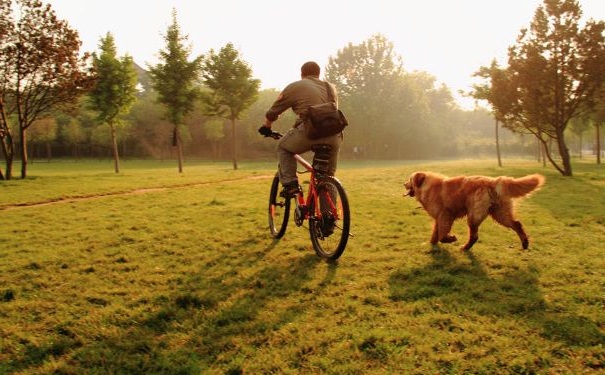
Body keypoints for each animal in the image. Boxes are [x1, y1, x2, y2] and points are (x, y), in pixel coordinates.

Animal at [404, 172, 544, 251]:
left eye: (409, 179)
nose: (403, 184)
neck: (427, 186)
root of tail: (492, 181)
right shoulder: (439, 218)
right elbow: (436, 234)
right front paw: (431, 243)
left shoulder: (446, 215)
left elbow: (442, 235)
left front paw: (451, 239)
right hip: (500, 214)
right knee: (517, 224)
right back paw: (525, 243)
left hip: (473, 216)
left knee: (474, 236)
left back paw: (465, 248)